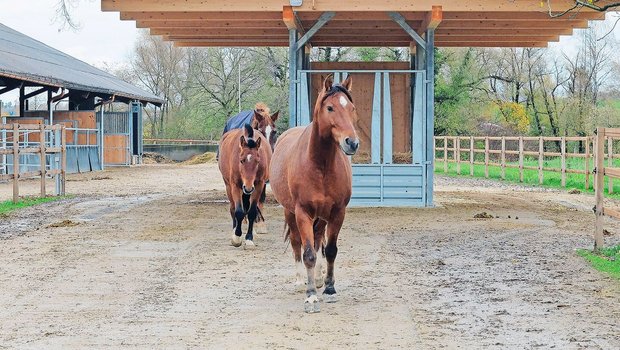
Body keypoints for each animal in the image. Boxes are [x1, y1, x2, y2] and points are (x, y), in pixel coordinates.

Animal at [270, 75, 358, 314]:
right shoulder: (303, 213)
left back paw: (317, 279)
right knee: (296, 243)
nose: (352, 142)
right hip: (291, 213)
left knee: (319, 240)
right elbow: (308, 252)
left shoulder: (337, 213)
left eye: (351, 108)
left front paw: (329, 289)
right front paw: (310, 296)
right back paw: (301, 280)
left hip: (321, 217)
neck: (320, 165)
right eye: (330, 107)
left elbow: (330, 250)